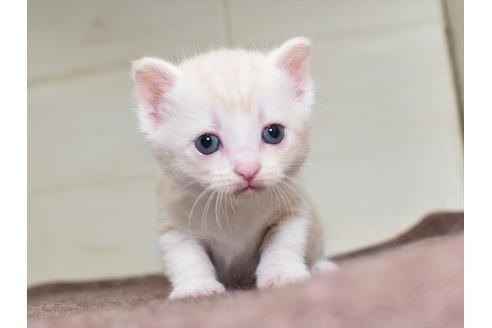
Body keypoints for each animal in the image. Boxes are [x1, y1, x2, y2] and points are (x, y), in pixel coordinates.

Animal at [133, 37, 336, 298]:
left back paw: (322, 268)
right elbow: (185, 256)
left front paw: (282, 275)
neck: (236, 208)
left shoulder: (293, 210)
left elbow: (284, 243)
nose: (248, 169)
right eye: (206, 143)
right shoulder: (173, 223)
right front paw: (197, 287)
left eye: (274, 133)